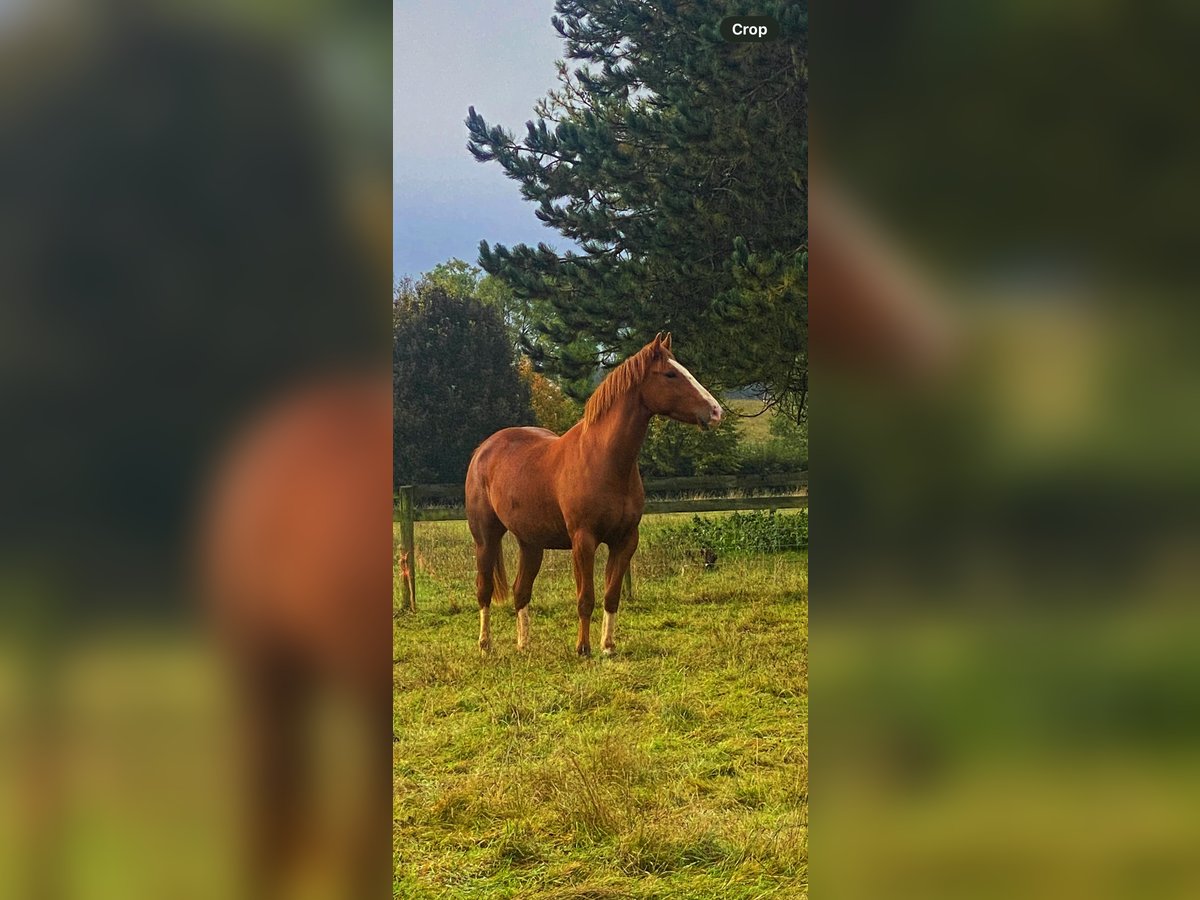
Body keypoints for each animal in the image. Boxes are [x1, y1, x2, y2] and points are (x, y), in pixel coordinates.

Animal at [463, 331, 715, 657]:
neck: (604, 459)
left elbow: (611, 595)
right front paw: (583, 647)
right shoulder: (583, 541)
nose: (715, 411)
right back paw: (485, 645)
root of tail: (483, 449)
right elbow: (586, 598)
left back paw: (524, 644)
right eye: (670, 374)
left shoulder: (625, 540)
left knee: (521, 591)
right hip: (485, 537)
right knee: (484, 589)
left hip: (530, 543)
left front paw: (608, 646)